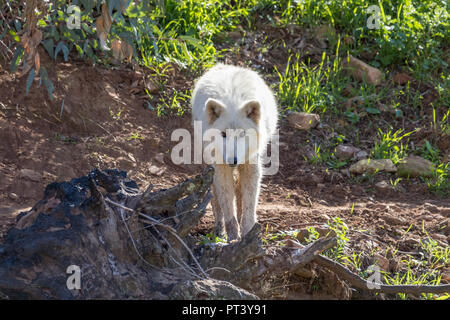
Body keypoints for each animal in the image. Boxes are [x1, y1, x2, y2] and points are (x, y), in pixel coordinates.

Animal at [192, 64, 280, 240]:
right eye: (223, 134)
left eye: (242, 134)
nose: (233, 160)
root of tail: (225, 66)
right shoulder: (220, 166)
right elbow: (227, 206)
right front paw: (233, 238)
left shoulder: (251, 164)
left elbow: (249, 205)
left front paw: (248, 233)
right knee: (215, 196)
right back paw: (219, 229)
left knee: (239, 191)